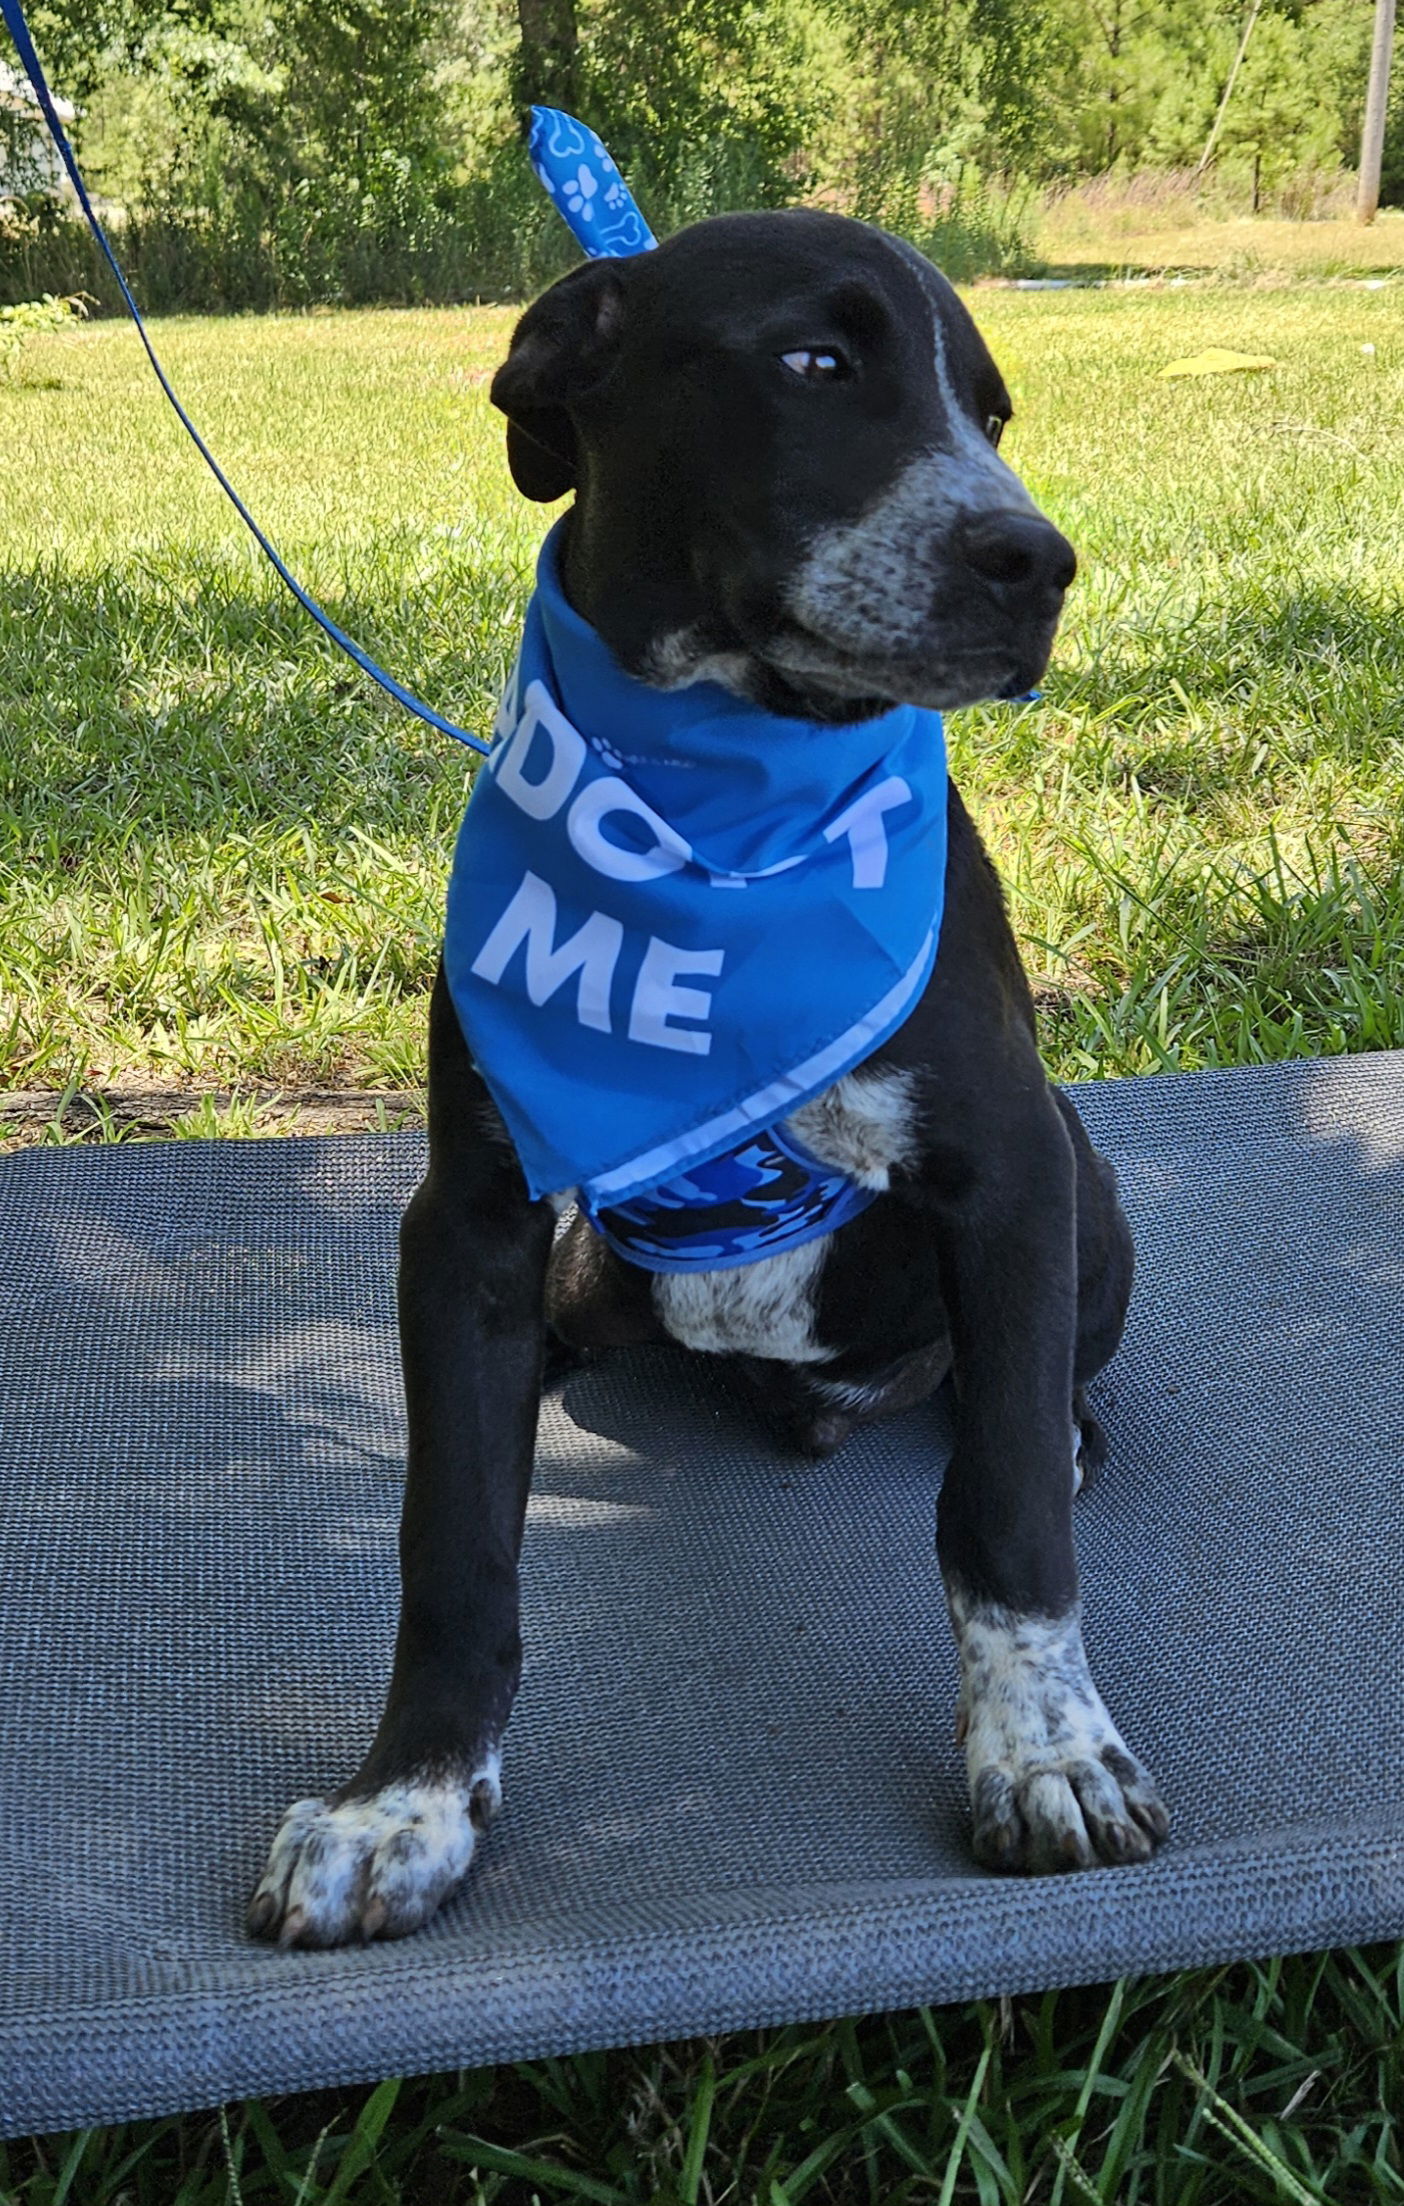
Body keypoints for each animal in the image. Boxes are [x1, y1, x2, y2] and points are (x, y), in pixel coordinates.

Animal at [247, 210, 1165, 1950]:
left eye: (993, 415)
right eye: (816, 361)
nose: (1040, 563)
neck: (714, 800)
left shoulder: (1010, 1165)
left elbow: (1006, 1508)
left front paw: (1045, 1750)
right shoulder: (465, 1221)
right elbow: (454, 1546)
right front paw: (403, 1802)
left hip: (1086, 1172)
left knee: (1025, 1399)